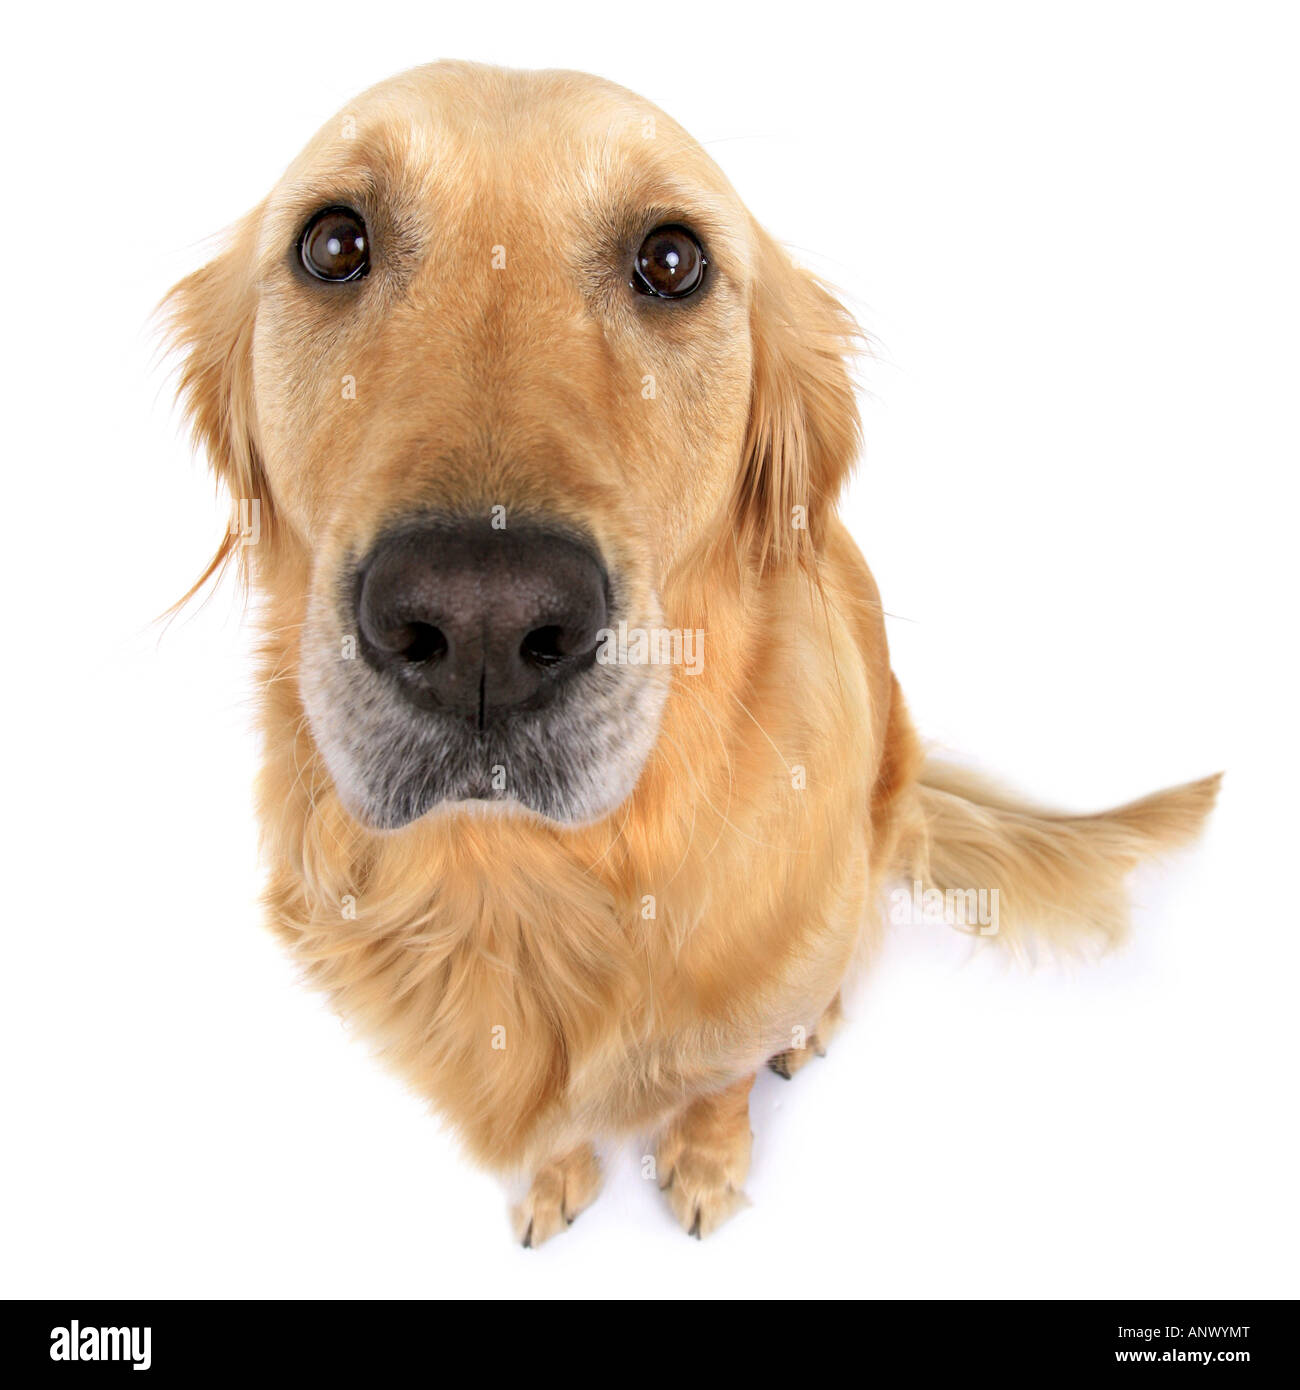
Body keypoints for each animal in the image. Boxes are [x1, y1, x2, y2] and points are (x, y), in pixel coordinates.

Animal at [165, 59, 1217, 1245]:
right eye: (334, 243)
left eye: (671, 261)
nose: (481, 623)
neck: (530, 880)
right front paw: (553, 1175)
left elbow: (719, 1077)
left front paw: (708, 1161)